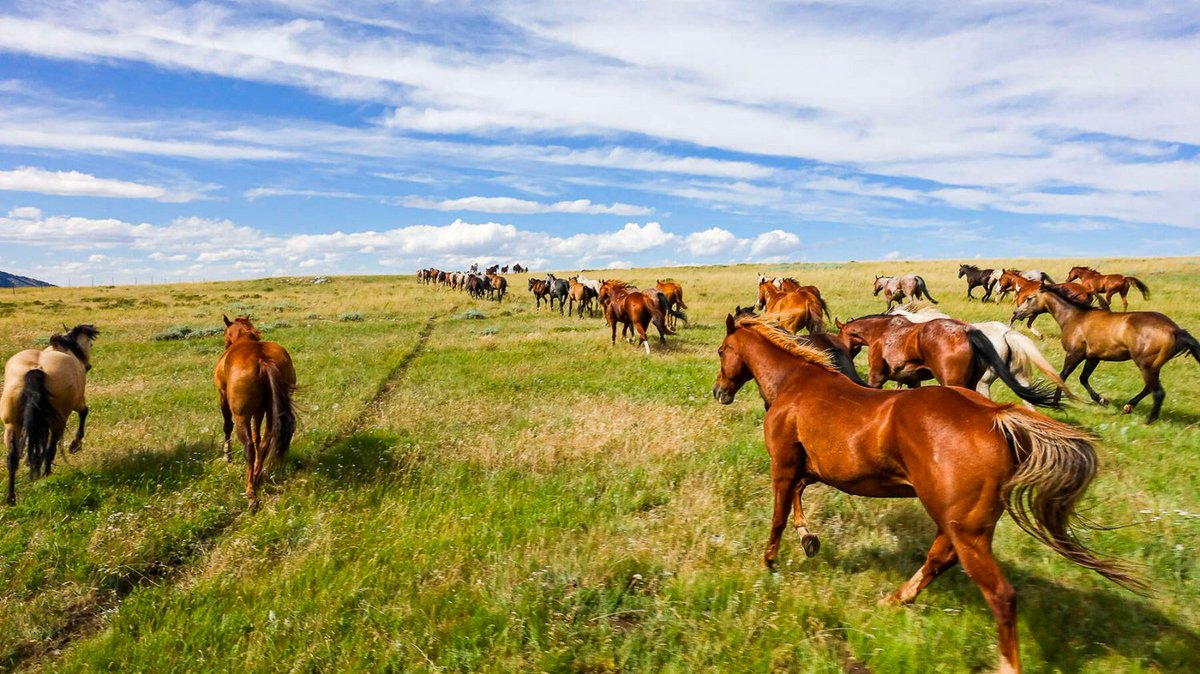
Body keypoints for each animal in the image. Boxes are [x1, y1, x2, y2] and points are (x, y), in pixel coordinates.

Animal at [2, 324, 99, 505]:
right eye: (90, 344)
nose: (88, 366)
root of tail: (36, 370)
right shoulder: (77, 403)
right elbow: (84, 412)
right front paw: (75, 445)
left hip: (11, 425)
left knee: (12, 458)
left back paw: (11, 498)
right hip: (58, 421)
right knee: (51, 448)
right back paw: (47, 474)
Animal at [215, 316, 297, 500]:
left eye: (225, 333)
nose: (225, 345)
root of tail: (263, 360)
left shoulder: (223, 396)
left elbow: (227, 426)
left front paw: (227, 456)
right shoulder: (259, 411)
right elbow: (257, 435)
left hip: (241, 416)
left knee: (249, 446)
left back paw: (250, 490)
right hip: (272, 412)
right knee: (265, 443)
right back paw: (257, 477)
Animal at [1013, 284, 1199, 422]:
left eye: (1029, 298)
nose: (1016, 313)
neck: (1074, 317)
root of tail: (1175, 330)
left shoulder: (1074, 354)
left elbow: (1062, 375)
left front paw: (1055, 403)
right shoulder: (1093, 357)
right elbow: (1083, 378)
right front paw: (1102, 400)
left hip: (1146, 365)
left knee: (1158, 392)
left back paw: (1148, 420)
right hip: (1152, 366)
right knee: (1150, 388)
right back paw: (1128, 407)